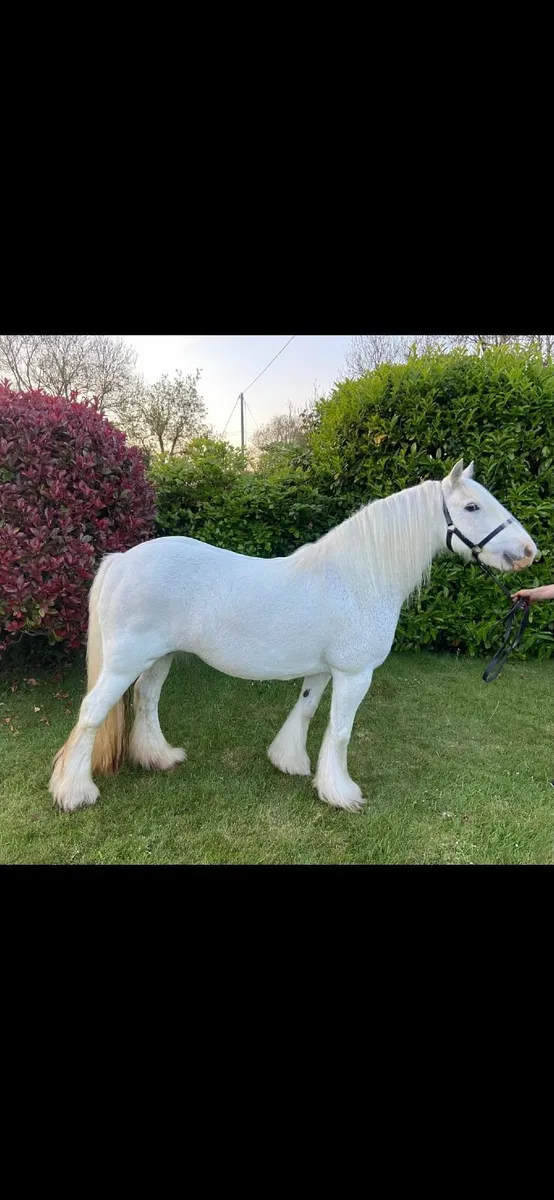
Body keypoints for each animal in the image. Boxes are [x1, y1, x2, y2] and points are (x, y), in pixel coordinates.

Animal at [49, 459, 537, 814]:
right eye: (472, 507)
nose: (529, 551)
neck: (358, 576)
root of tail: (121, 559)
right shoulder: (355, 674)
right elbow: (340, 730)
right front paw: (342, 794)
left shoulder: (322, 671)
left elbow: (304, 712)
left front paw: (290, 763)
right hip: (125, 662)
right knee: (92, 712)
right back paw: (74, 792)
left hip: (159, 657)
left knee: (147, 701)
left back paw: (160, 757)